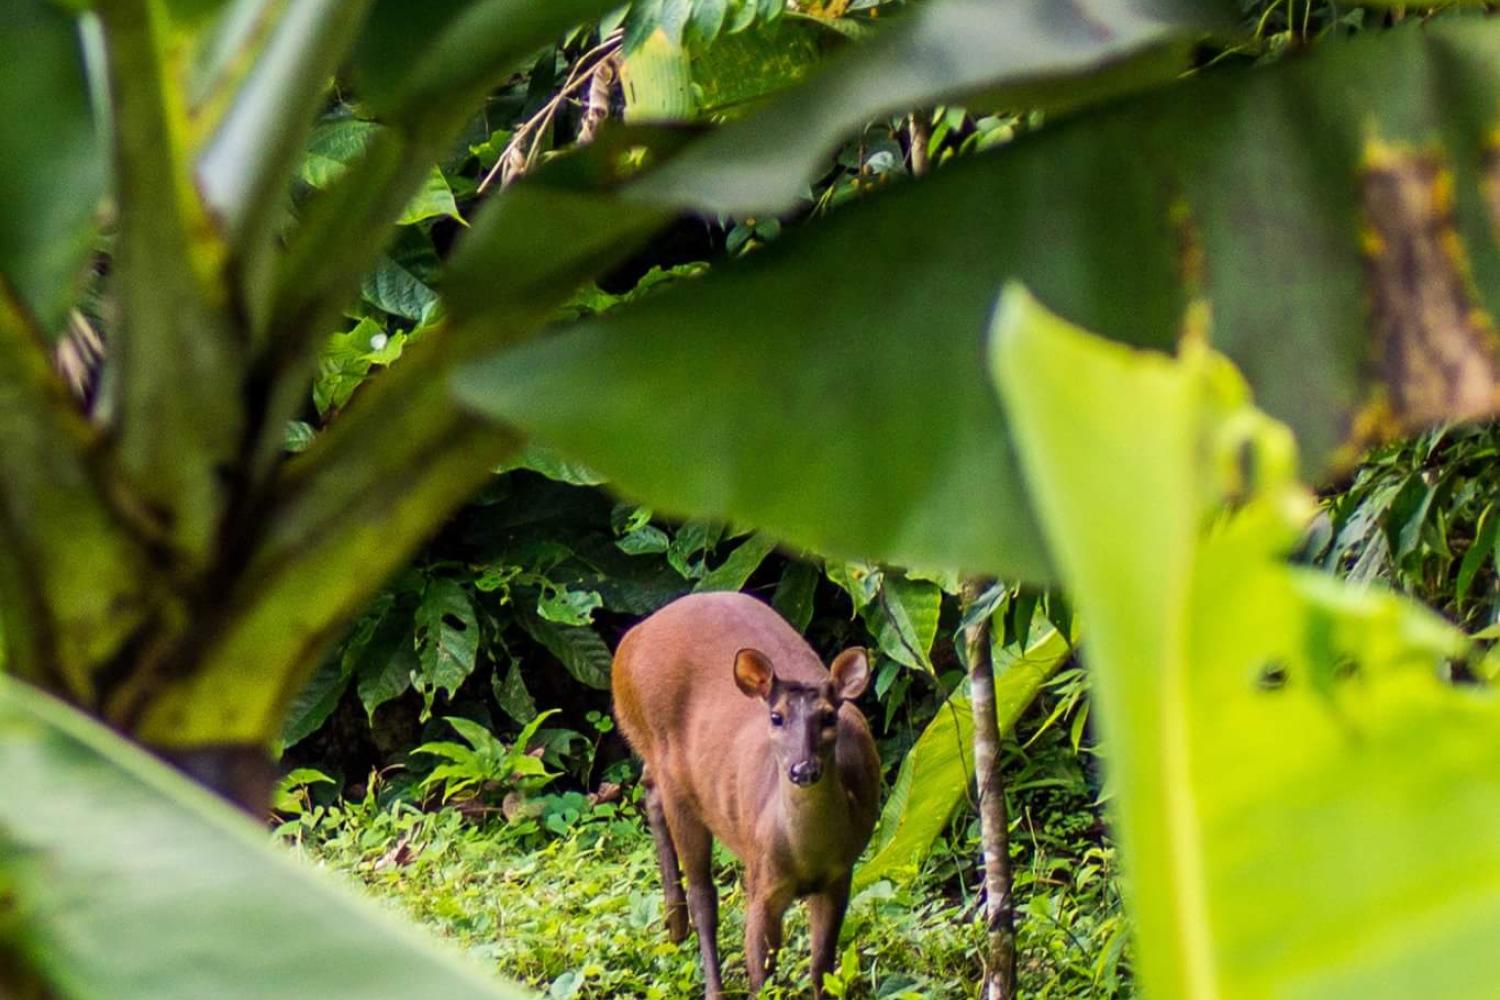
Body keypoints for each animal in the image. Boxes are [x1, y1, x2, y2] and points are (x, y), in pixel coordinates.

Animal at [615, 590, 882, 995]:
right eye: (776, 717)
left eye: (828, 716)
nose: (803, 769)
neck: (807, 856)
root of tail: (628, 643)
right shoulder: (762, 879)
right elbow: (761, 978)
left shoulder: (840, 875)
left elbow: (820, 968)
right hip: (673, 775)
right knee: (703, 894)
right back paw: (710, 982)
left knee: (649, 788)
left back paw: (674, 928)